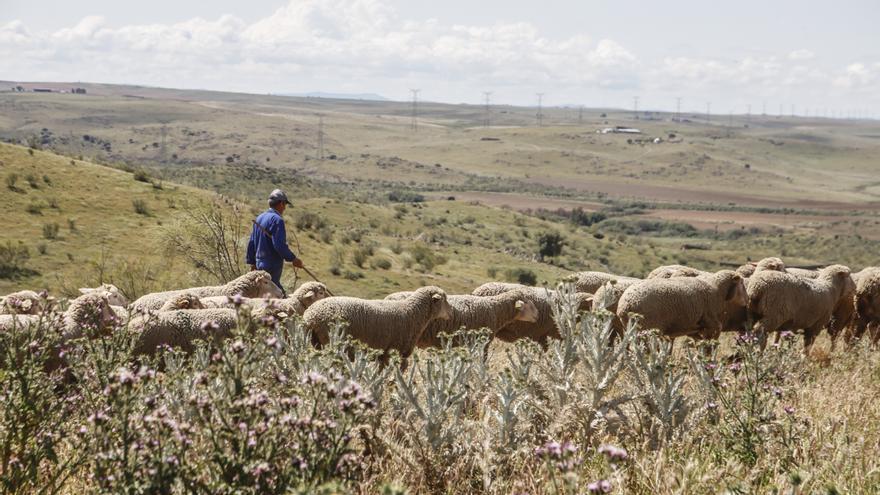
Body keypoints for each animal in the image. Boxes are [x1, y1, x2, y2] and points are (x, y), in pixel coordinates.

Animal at [616, 270, 744, 342]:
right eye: (742, 284)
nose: (747, 301)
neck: (716, 290)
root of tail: (625, 305)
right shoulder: (711, 322)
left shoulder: (695, 327)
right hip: (648, 329)